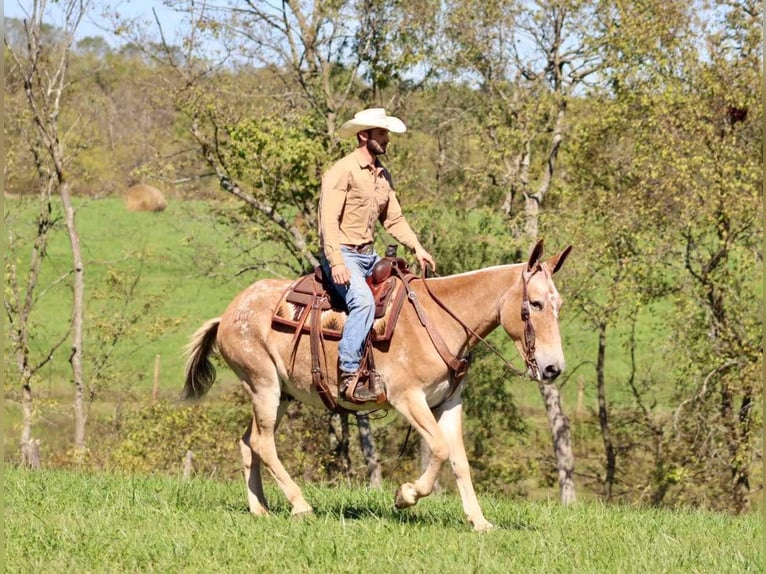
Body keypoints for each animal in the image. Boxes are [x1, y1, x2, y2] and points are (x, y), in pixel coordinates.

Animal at [184, 238, 568, 532]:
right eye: (535, 304)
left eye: (558, 304)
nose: (553, 368)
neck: (440, 319)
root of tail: (228, 314)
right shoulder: (408, 398)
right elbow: (440, 450)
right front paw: (406, 495)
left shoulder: (449, 403)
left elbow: (459, 459)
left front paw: (479, 521)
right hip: (264, 387)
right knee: (263, 443)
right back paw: (300, 505)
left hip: (280, 395)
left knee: (248, 442)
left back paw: (260, 509)